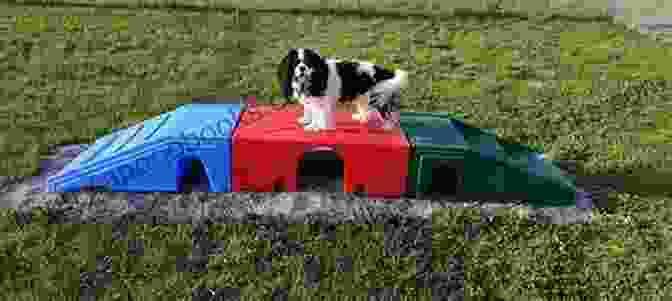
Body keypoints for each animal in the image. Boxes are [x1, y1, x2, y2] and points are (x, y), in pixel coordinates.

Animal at [278, 48, 410, 130]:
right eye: (296, 63)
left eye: (308, 63)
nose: (302, 67)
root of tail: (379, 70)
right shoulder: (311, 100)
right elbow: (310, 111)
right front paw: (307, 121)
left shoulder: (321, 101)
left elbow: (319, 115)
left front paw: (317, 127)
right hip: (363, 96)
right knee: (366, 108)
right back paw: (362, 117)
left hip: (377, 97)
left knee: (387, 113)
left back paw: (388, 127)